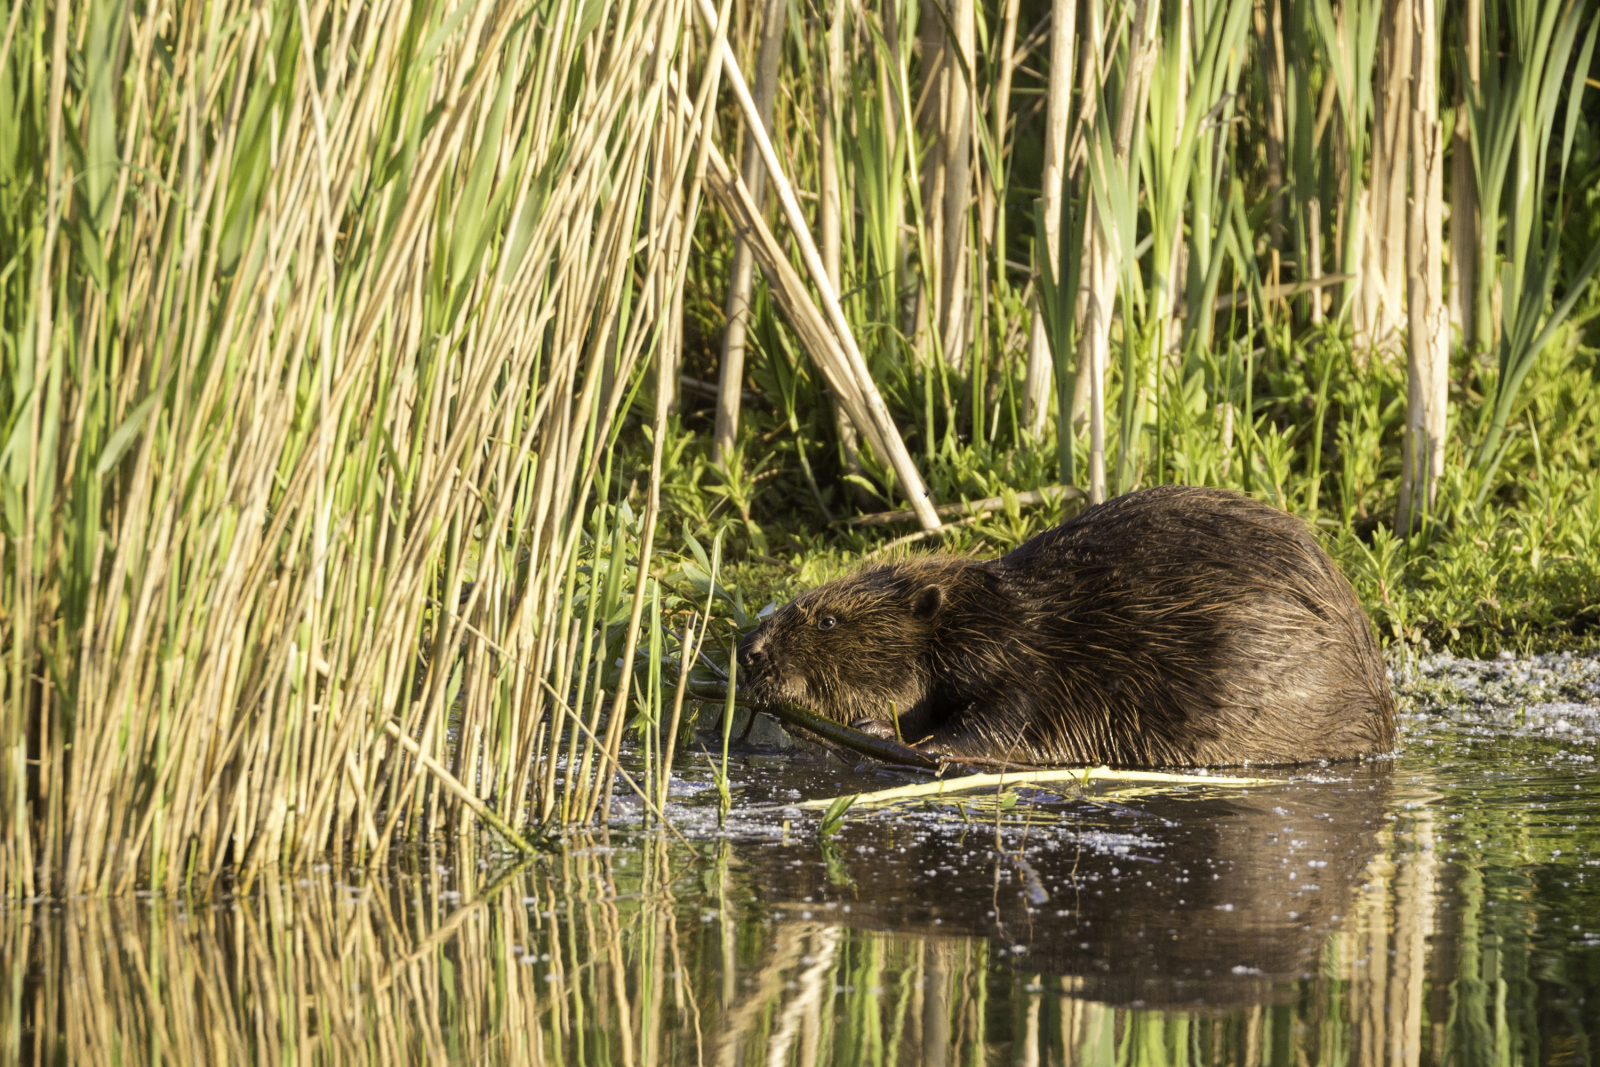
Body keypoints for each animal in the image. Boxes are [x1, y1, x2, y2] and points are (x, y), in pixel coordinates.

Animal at [739, 489, 1401, 764]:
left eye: (827, 620)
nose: (749, 650)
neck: (994, 615)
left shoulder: (1027, 661)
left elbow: (1000, 722)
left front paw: (885, 733)